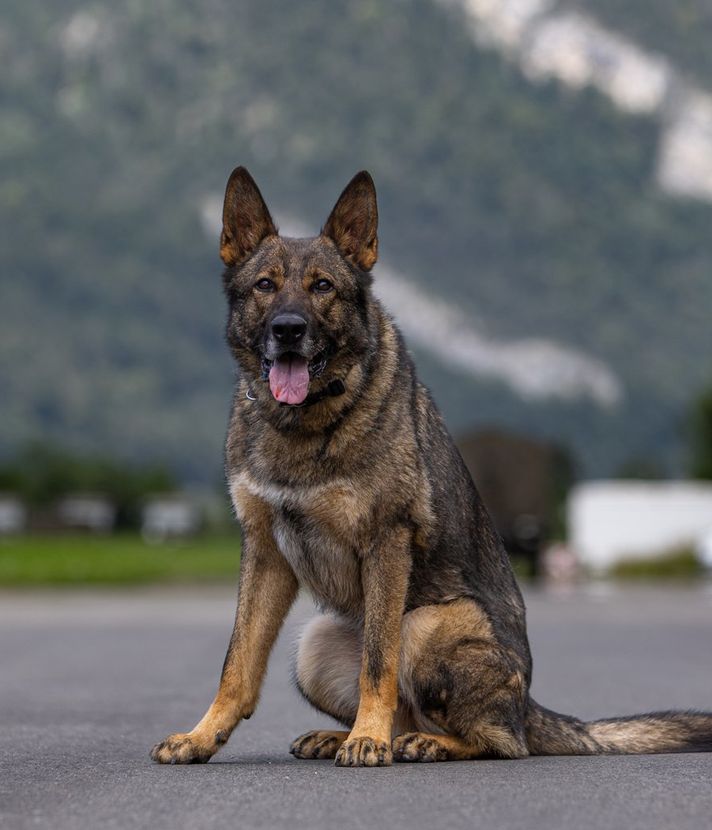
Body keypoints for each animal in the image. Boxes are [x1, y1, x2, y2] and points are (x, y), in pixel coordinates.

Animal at [147, 167, 708, 768]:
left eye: (323, 287)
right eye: (265, 286)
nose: (288, 329)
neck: (308, 423)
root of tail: (528, 706)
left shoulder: (387, 541)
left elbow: (378, 663)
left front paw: (366, 739)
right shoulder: (264, 550)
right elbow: (238, 662)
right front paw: (202, 735)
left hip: (426, 624)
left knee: (495, 740)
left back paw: (416, 741)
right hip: (314, 646)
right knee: (411, 711)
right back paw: (351, 736)